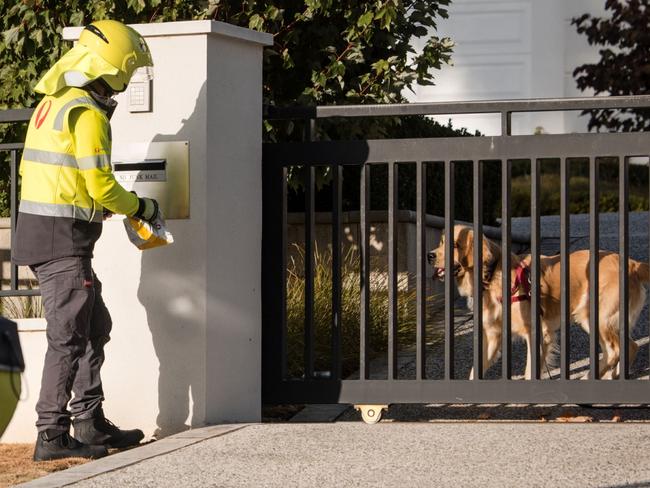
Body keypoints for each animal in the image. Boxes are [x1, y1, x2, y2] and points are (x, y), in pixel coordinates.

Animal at [428, 225, 644, 382]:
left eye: (454, 245)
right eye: (441, 242)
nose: (430, 255)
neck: (491, 275)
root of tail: (634, 264)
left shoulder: (538, 332)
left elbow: (530, 370)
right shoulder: (492, 336)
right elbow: (475, 370)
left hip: (593, 316)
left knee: (615, 350)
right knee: (629, 347)